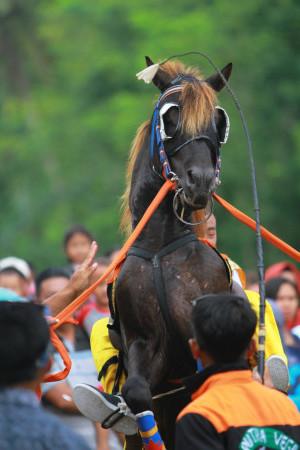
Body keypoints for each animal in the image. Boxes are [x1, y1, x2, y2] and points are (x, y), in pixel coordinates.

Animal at [114, 58, 232, 448]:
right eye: (171, 117)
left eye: (217, 122)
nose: (201, 181)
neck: (160, 252)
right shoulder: (144, 342)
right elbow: (136, 392)